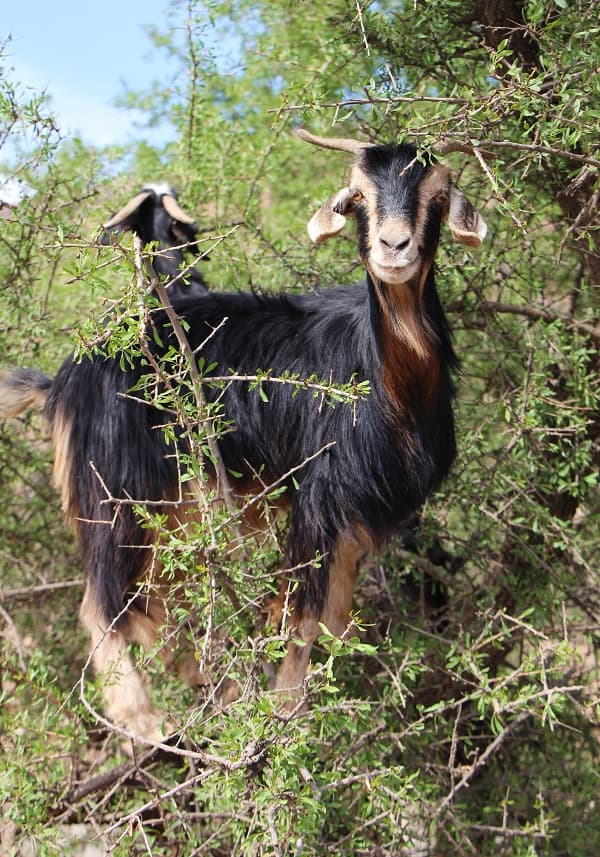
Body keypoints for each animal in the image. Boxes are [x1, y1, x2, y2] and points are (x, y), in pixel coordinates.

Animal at [0, 130, 486, 741]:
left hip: (172, 503)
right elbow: (303, 611)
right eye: (357, 198)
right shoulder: (319, 495)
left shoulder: (360, 510)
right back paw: (146, 722)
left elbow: (333, 611)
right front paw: (285, 713)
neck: (389, 381)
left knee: (157, 596)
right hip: (116, 493)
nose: (394, 248)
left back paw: (212, 683)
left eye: (437, 198)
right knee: (105, 602)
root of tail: (63, 379)